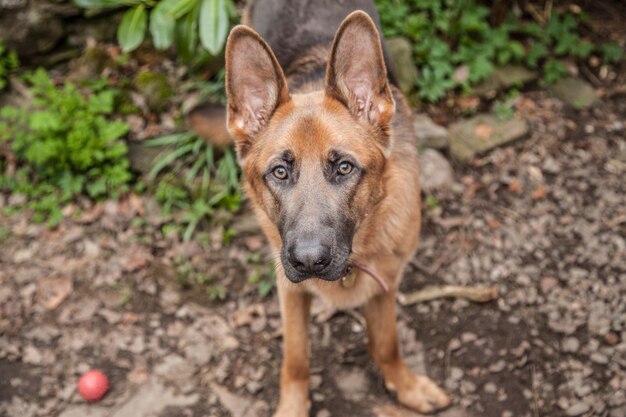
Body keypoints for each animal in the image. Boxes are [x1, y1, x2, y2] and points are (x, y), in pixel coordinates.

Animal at [212, 1, 450, 414]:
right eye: (279, 171)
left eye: (344, 168)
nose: (309, 261)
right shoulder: (289, 291)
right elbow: (295, 359)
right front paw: (292, 406)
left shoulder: (386, 283)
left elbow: (386, 344)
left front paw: (406, 386)